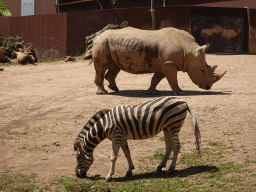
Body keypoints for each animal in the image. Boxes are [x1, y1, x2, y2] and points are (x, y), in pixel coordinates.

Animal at [73, 97, 201, 181]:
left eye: (78, 158)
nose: (77, 175)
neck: (105, 124)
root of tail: (184, 101)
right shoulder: (122, 137)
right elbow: (127, 153)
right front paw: (130, 170)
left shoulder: (116, 135)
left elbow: (113, 157)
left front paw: (109, 176)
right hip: (166, 127)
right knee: (169, 147)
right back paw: (160, 166)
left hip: (173, 126)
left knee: (177, 147)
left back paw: (171, 168)